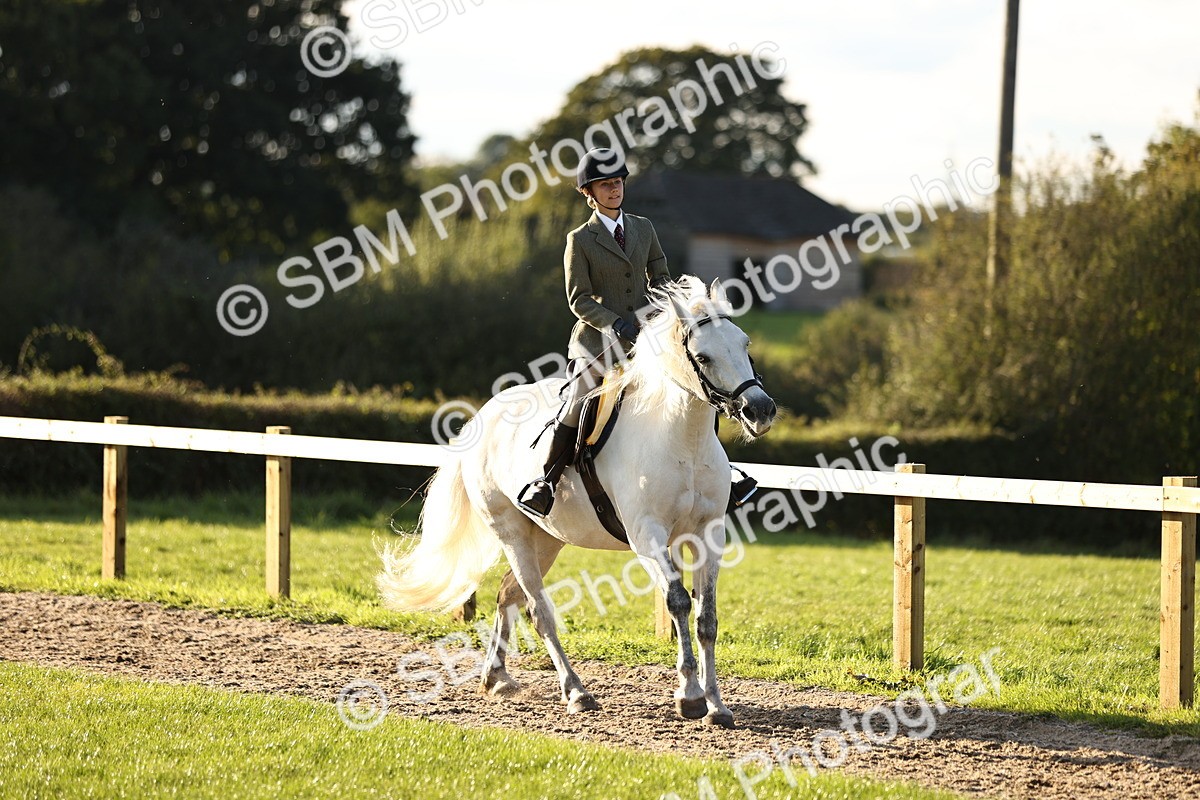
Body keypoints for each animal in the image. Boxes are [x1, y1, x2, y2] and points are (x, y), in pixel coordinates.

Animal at [377, 276, 777, 727]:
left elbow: (706, 618)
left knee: (508, 596)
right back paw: (576, 692)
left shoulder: (708, 534)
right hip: (511, 532)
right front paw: (689, 697)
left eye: (744, 343)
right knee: (538, 610)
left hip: (547, 537)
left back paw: (497, 678)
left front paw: (717, 706)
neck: (682, 438)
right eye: (704, 357)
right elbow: (677, 603)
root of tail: (484, 415)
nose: (760, 410)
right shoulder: (647, 536)